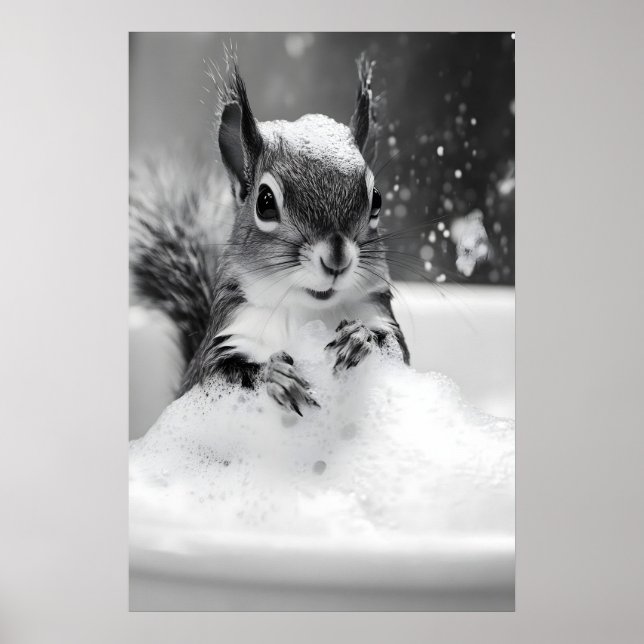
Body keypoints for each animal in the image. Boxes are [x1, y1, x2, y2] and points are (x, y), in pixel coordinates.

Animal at [130, 53, 410, 416]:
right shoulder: (222, 347)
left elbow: (392, 348)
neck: (306, 312)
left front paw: (358, 338)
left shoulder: (383, 321)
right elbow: (225, 373)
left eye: (377, 199)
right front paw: (276, 376)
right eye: (264, 202)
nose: (336, 259)